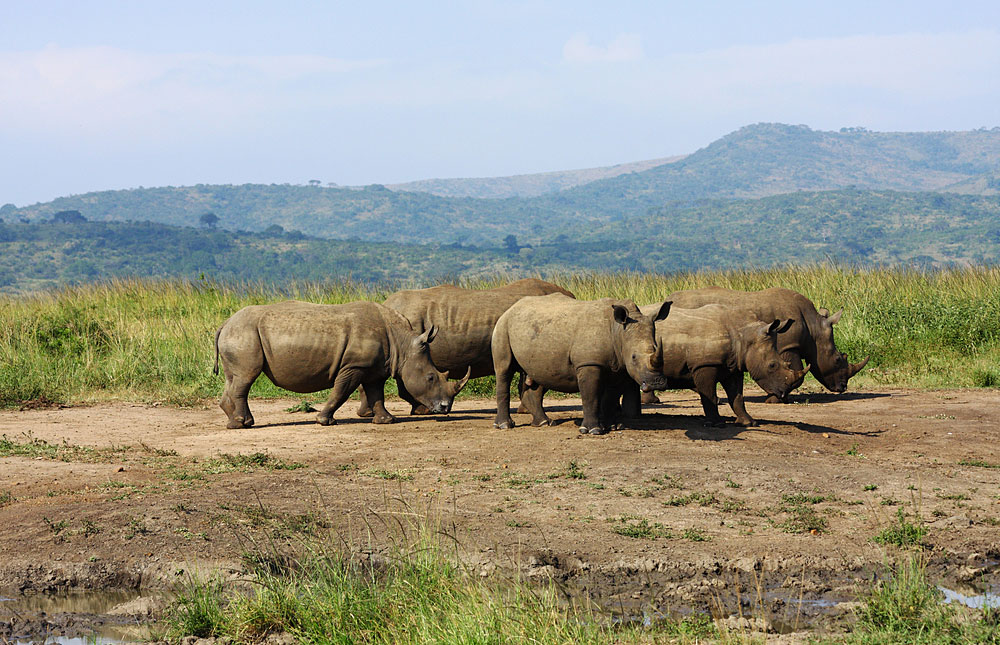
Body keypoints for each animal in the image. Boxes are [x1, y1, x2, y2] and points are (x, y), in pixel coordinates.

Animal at [215, 300, 464, 428]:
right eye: (431, 377)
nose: (445, 408)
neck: (402, 343)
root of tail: (225, 322)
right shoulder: (354, 365)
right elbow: (341, 391)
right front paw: (324, 421)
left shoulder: (375, 368)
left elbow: (377, 393)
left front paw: (387, 421)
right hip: (244, 334)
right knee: (246, 377)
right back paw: (242, 424)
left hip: (238, 334)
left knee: (233, 378)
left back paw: (238, 422)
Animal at [492, 294, 672, 436]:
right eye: (634, 357)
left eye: (657, 348)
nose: (657, 383)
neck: (618, 331)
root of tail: (511, 308)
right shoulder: (589, 363)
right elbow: (590, 395)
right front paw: (592, 430)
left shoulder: (619, 366)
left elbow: (610, 397)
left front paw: (613, 426)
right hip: (502, 326)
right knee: (504, 370)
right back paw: (505, 425)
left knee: (537, 375)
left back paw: (544, 423)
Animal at [628, 304, 808, 428]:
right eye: (771, 365)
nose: (784, 392)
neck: (744, 335)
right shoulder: (704, 365)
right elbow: (710, 395)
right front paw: (716, 424)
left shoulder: (733, 367)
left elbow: (737, 397)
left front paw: (748, 423)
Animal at [664, 286, 868, 402]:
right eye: (837, 360)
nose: (842, 388)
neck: (813, 328)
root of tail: (667, 299)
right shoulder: (789, 345)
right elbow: (795, 373)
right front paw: (775, 399)